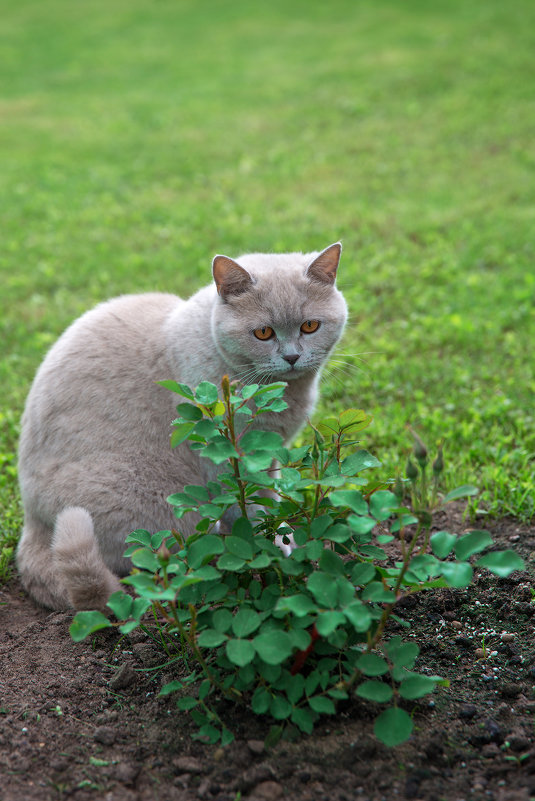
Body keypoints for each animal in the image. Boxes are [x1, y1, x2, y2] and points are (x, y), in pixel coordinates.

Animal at [15, 241, 348, 608]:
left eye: (310, 326)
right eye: (263, 333)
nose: (291, 357)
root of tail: (33, 526)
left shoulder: (271, 452)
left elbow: (269, 495)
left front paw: (285, 536)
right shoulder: (227, 456)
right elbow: (249, 508)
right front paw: (270, 546)